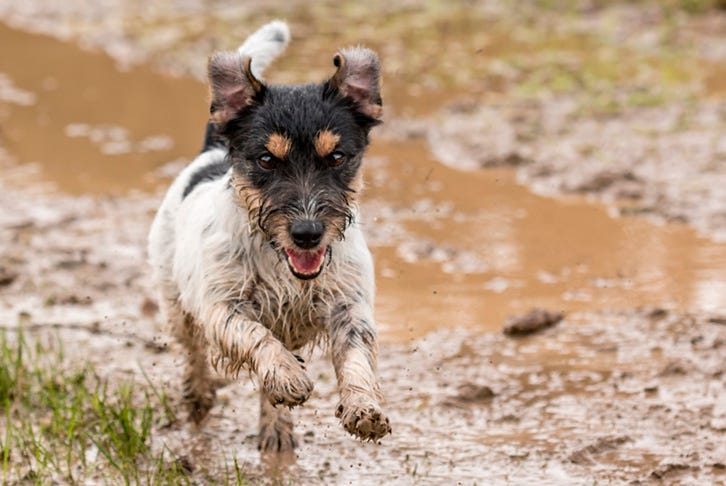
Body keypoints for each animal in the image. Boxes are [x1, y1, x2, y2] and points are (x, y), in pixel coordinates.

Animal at [147, 19, 392, 452]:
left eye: (337, 157)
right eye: (265, 160)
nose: (308, 233)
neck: (282, 263)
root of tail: (212, 151)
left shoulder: (349, 306)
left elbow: (357, 355)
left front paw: (364, 406)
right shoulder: (222, 307)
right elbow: (256, 336)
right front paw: (287, 376)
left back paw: (276, 429)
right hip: (175, 301)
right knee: (193, 351)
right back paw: (199, 396)